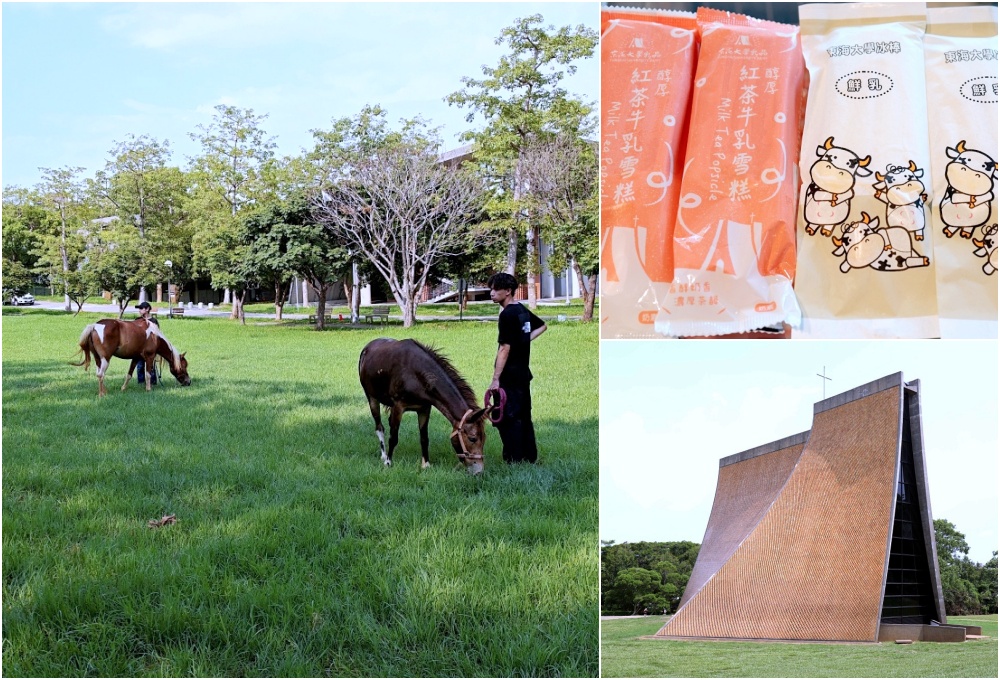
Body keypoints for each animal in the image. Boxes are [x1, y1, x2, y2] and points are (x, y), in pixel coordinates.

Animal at [360, 338, 488, 472]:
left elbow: (424, 438)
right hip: (372, 399)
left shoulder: (424, 409)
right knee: (379, 428)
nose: (479, 471)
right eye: (472, 438)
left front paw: (426, 464)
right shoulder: (398, 407)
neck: (416, 374)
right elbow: (393, 437)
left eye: (484, 438)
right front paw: (389, 463)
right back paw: (384, 456)